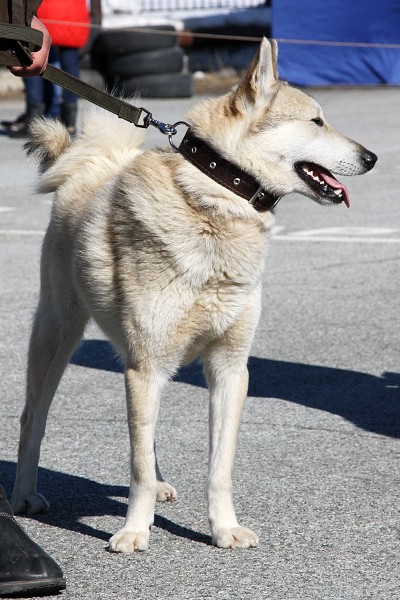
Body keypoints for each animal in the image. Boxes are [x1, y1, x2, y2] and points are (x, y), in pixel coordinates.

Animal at [12, 38, 377, 551]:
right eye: (316, 121)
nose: (372, 158)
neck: (217, 197)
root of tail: (89, 165)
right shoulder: (146, 366)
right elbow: (137, 468)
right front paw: (134, 530)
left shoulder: (228, 368)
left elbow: (218, 466)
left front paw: (224, 528)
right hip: (57, 338)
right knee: (33, 420)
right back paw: (24, 495)